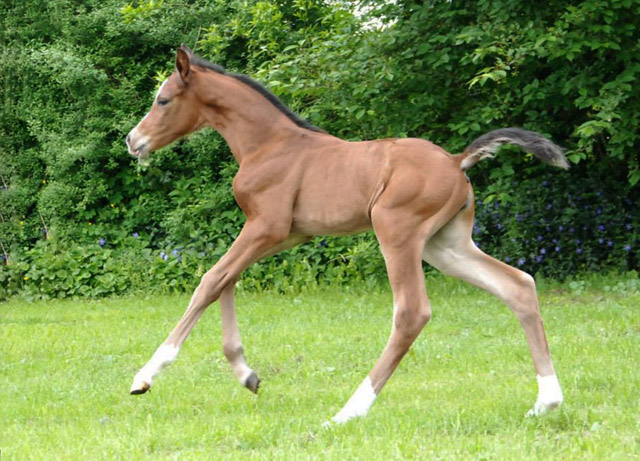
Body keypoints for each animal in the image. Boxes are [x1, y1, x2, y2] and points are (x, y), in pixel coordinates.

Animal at [127, 45, 568, 422]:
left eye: (163, 100)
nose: (133, 140)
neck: (267, 145)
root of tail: (457, 160)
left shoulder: (265, 226)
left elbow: (211, 280)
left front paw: (146, 375)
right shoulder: (285, 234)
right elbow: (227, 281)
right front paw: (246, 374)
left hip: (396, 232)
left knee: (412, 312)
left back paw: (349, 411)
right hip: (447, 246)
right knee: (518, 285)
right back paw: (546, 401)